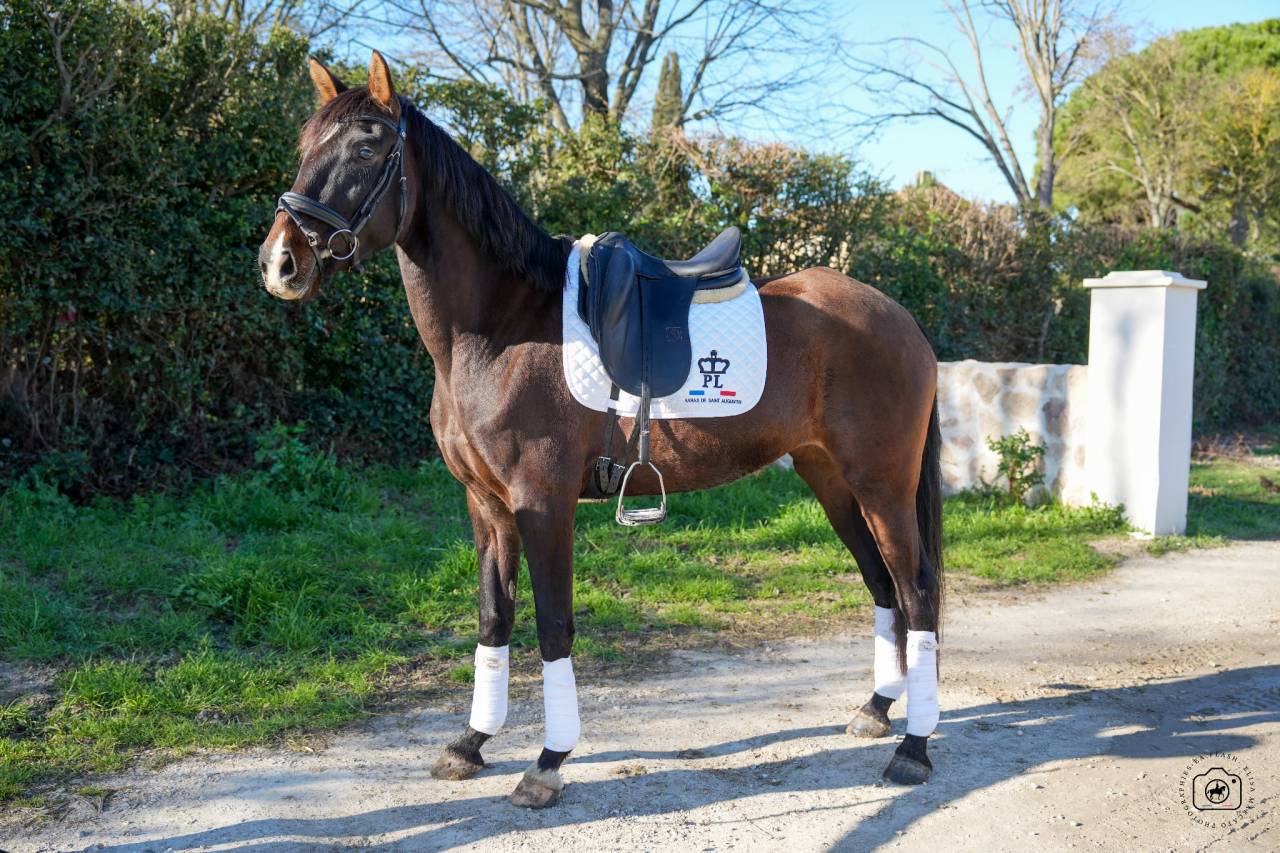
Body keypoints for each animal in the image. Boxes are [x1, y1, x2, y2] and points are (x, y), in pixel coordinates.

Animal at [259, 51, 944, 809]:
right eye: (305, 146)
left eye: (366, 146)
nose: (280, 262)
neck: (497, 332)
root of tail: (902, 319)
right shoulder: (487, 506)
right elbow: (493, 617)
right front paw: (471, 742)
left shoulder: (542, 501)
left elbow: (553, 625)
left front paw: (548, 761)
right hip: (832, 481)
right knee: (882, 584)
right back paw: (877, 709)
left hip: (881, 485)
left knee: (917, 591)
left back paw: (914, 747)